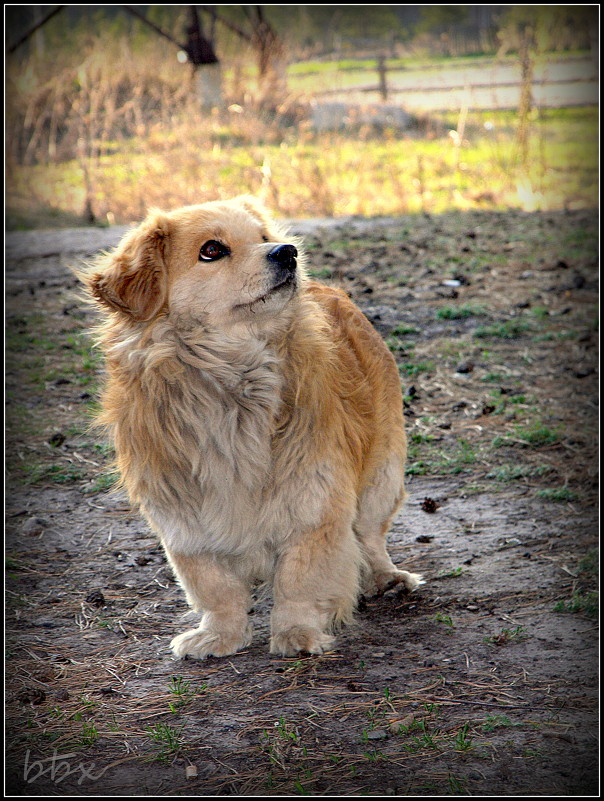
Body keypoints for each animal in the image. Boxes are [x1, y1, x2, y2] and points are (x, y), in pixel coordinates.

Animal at [80, 197, 422, 660]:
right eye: (212, 250)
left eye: (263, 238)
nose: (287, 252)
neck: (233, 379)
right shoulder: (185, 520)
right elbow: (215, 588)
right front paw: (220, 635)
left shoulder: (313, 503)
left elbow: (300, 579)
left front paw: (296, 633)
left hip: (381, 477)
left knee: (370, 536)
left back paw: (385, 578)